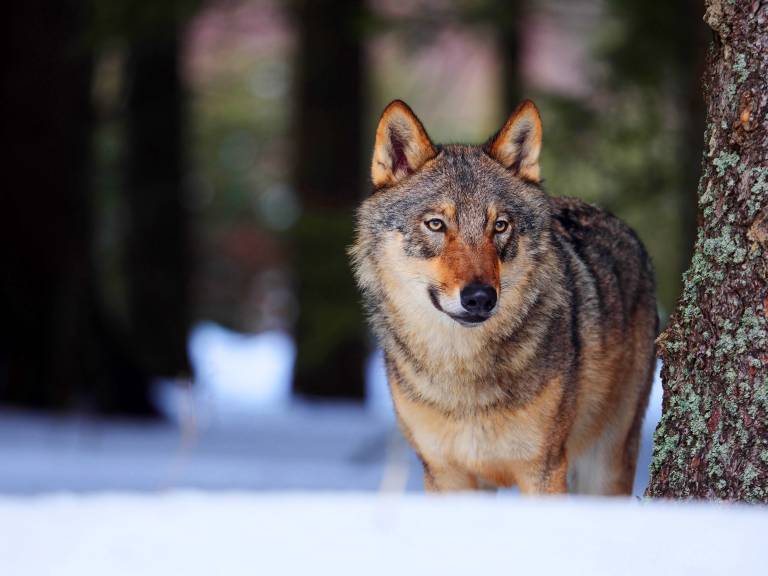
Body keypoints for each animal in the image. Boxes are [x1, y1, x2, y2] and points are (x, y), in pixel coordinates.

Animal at [350, 99, 657, 495]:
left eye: (499, 226)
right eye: (436, 224)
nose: (480, 297)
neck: (462, 374)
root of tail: (624, 228)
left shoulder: (543, 470)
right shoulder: (445, 474)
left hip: (605, 465)